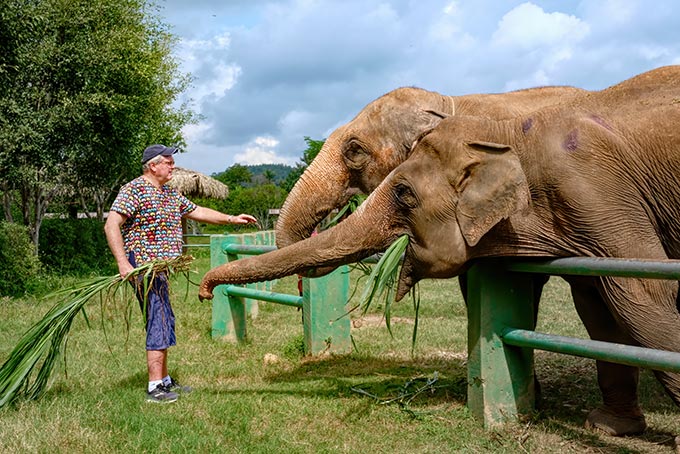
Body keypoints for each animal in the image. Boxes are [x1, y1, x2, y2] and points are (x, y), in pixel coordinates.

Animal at [201, 66, 680, 436]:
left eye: (354, 151)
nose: (205, 292)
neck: (448, 99)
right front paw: (601, 424)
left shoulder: (587, 198)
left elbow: (626, 291)